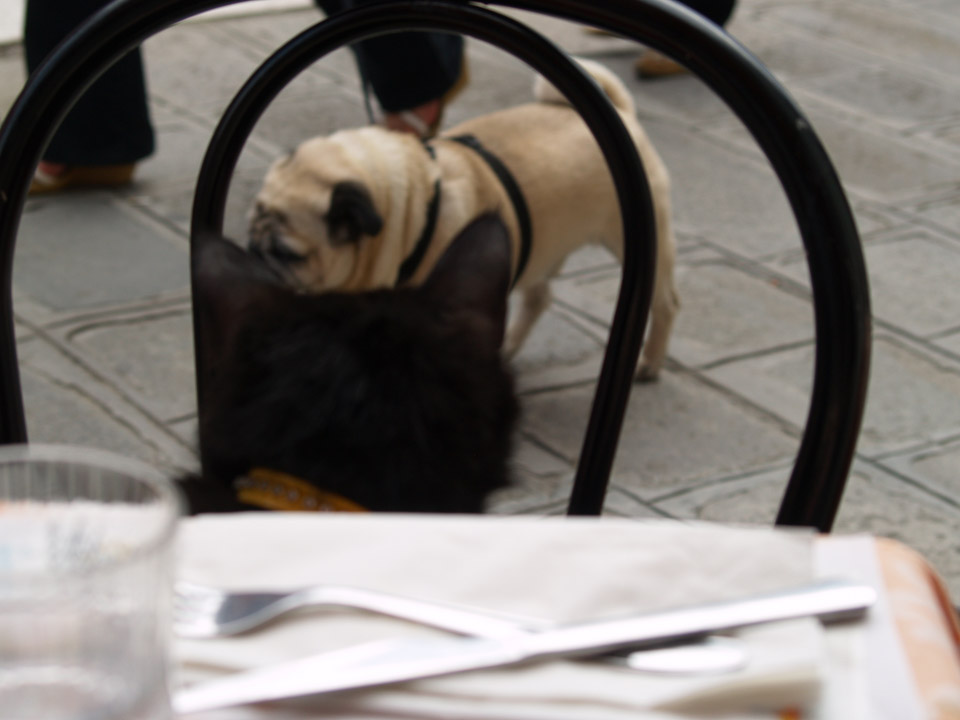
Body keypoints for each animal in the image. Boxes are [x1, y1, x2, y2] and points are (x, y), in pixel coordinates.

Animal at [251, 59, 680, 380]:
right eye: (251, 227)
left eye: (289, 254)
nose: (253, 252)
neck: (410, 212)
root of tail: (621, 112)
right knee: (538, 297)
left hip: (641, 243)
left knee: (665, 304)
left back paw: (649, 363)